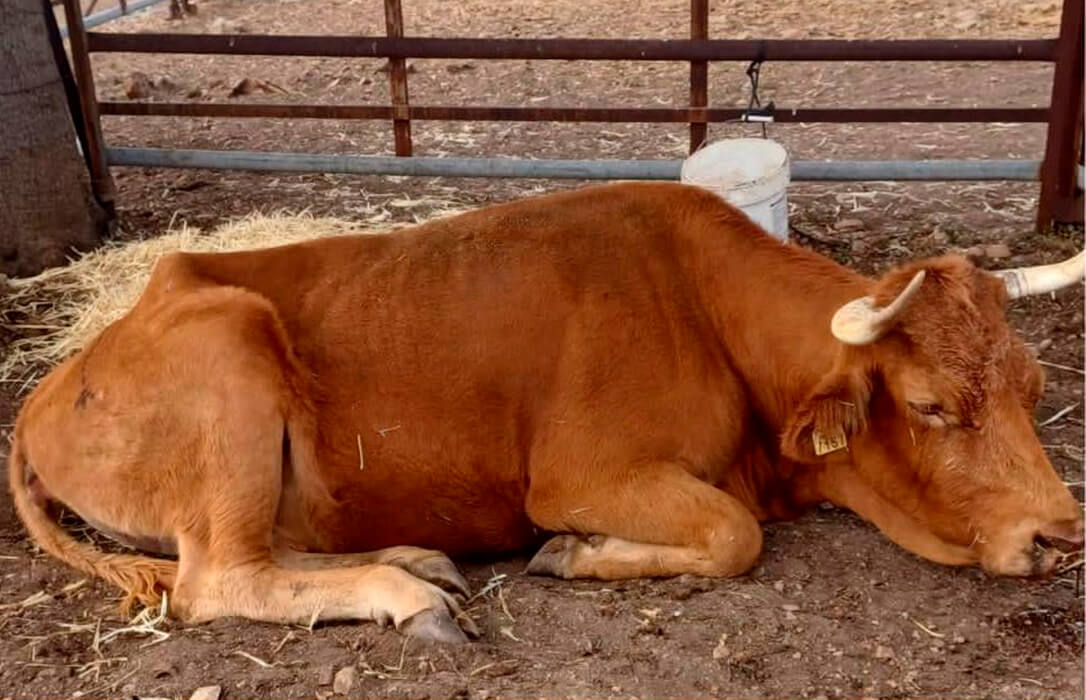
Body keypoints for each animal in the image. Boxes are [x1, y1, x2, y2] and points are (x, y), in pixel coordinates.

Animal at [8, 183, 1086, 642]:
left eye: (1035, 389)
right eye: (931, 405)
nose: (1060, 533)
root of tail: (52, 384)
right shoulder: (582, 475)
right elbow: (734, 535)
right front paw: (574, 553)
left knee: (267, 553)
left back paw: (415, 559)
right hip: (230, 353)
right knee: (215, 579)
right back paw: (407, 596)